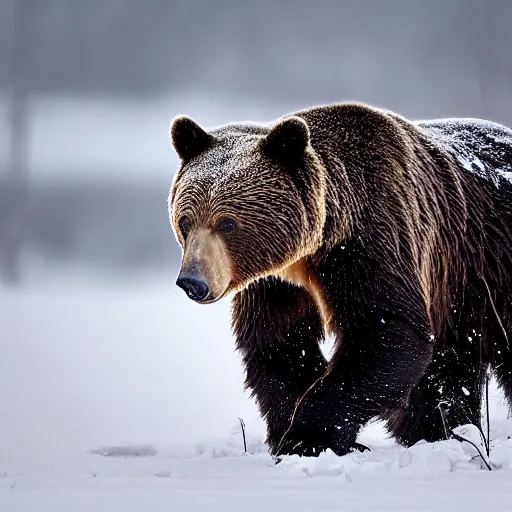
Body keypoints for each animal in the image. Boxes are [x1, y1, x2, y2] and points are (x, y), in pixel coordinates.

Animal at [168, 103, 512, 456]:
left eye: (227, 224)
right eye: (185, 221)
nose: (192, 281)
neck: (311, 253)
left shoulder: (370, 245)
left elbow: (384, 335)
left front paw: (308, 437)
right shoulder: (276, 282)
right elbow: (279, 343)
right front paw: (290, 432)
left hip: (488, 263)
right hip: (458, 295)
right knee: (450, 367)